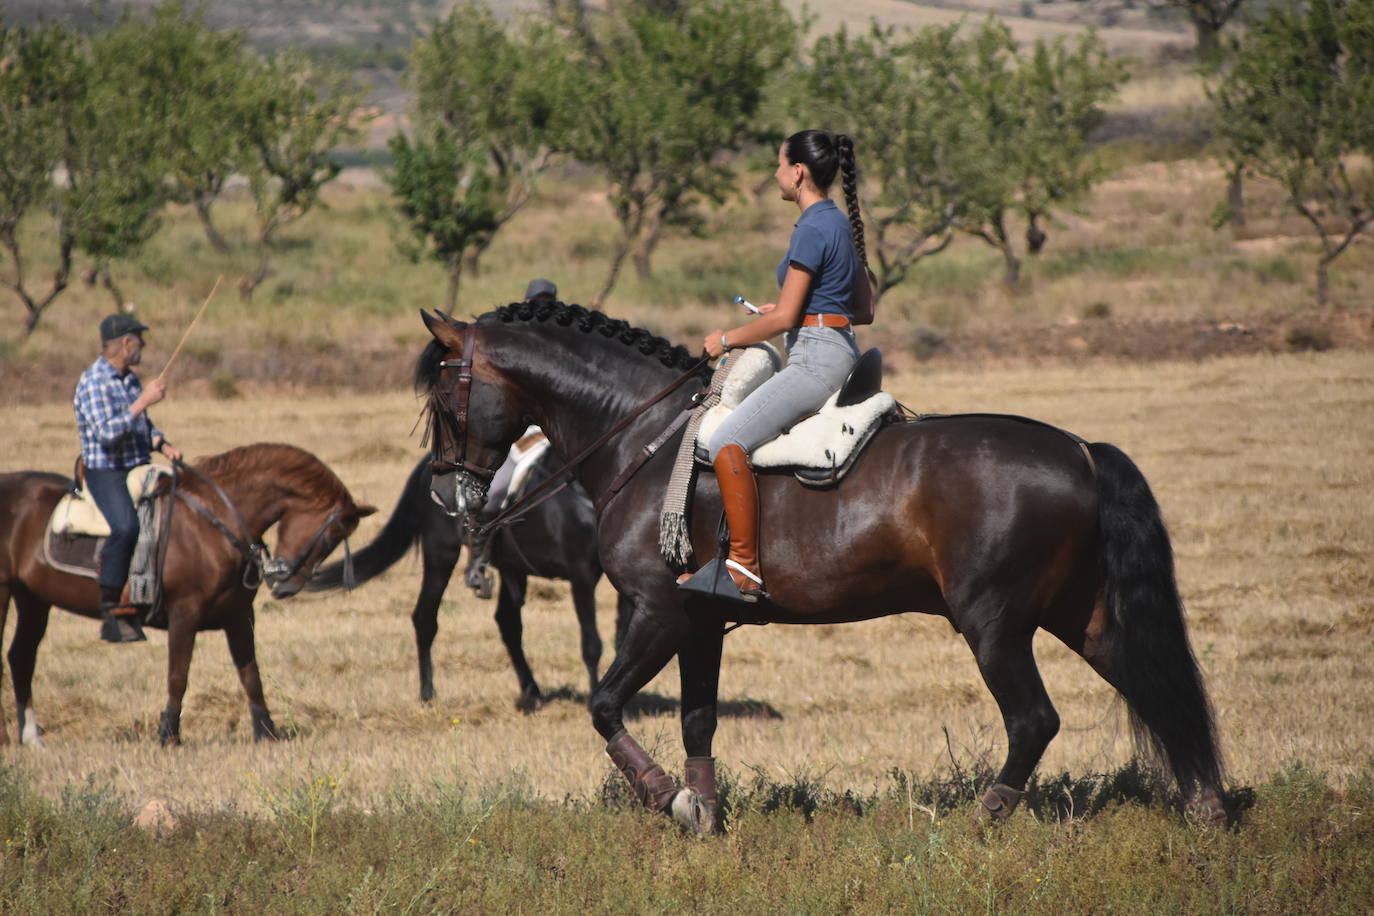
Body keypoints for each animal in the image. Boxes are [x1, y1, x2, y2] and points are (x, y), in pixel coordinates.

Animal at [0, 439, 376, 747]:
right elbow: (178, 676)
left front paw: (267, 733)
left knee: (22, 657)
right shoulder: (185, 614)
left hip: (34, 599)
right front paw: (169, 735)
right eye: (331, 536)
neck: (211, 522)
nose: (286, 585)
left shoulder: (240, 617)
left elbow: (251, 675)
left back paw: (31, 736)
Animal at [309, 453, 629, 708]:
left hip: (511, 566)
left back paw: (531, 690)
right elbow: (592, 643)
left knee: (508, 624)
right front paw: (596, 697)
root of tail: (428, 465)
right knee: (425, 617)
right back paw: (428, 694)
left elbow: (620, 638)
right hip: (441, 553)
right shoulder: (580, 575)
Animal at [414, 304, 1225, 834]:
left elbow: (606, 706)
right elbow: (698, 719)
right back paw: (1206, 808)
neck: (641, 433)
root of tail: (1081, 451)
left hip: (994, 623)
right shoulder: (698, 621)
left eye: (445, 399)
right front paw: (705, 814)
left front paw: (668, 799)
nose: (444, 497)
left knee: (1034, 719)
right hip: (1080, 614)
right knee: (1153, 684)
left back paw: (983, 819)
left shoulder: (657, 611)